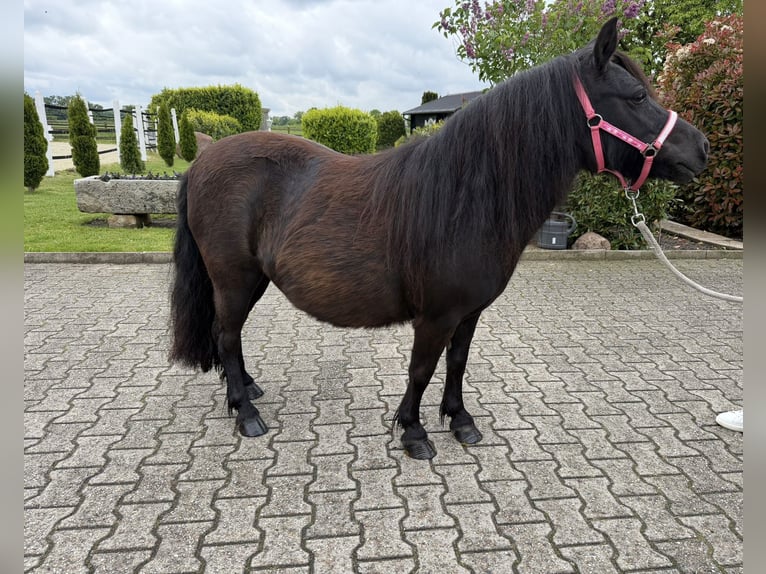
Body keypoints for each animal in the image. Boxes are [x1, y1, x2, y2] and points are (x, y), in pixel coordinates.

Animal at [169, 18, 709, 460]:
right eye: (636, 97)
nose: (701, 148)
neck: (465, 197)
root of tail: (202, 159)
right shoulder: (435, 316)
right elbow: (421, 369)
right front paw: (413, 432)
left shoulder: (469, 313)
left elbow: (457, 363)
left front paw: (460, 420)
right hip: (234, 278)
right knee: (227, 335)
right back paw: (246, 413)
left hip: (252, 280)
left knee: (229, 336)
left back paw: (246, 391)